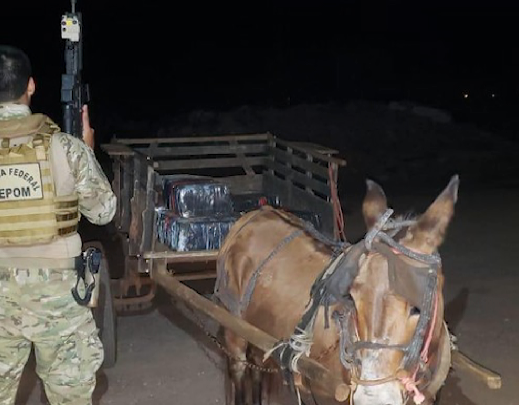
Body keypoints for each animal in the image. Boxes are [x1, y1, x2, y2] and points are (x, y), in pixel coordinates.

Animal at [215, 176, 460, 404]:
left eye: (418, 308)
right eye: (352, 298)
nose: (373, 399)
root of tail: (253, 215)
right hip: (235, 332)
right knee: (239, 369)